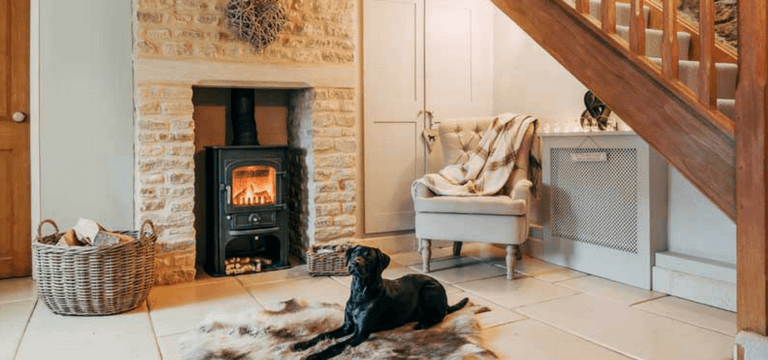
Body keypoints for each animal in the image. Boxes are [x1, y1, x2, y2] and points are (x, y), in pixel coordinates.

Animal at [292, 246, 468, 358]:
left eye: (369, 256)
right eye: (355, 253)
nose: (354, 262)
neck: (360, 293)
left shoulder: (360, 333)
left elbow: (337, 345)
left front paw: (316, 355)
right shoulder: (347, 326)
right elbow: (323, 335)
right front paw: (302, 345)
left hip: (428, 289)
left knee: (440, 315)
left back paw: (423, 323)